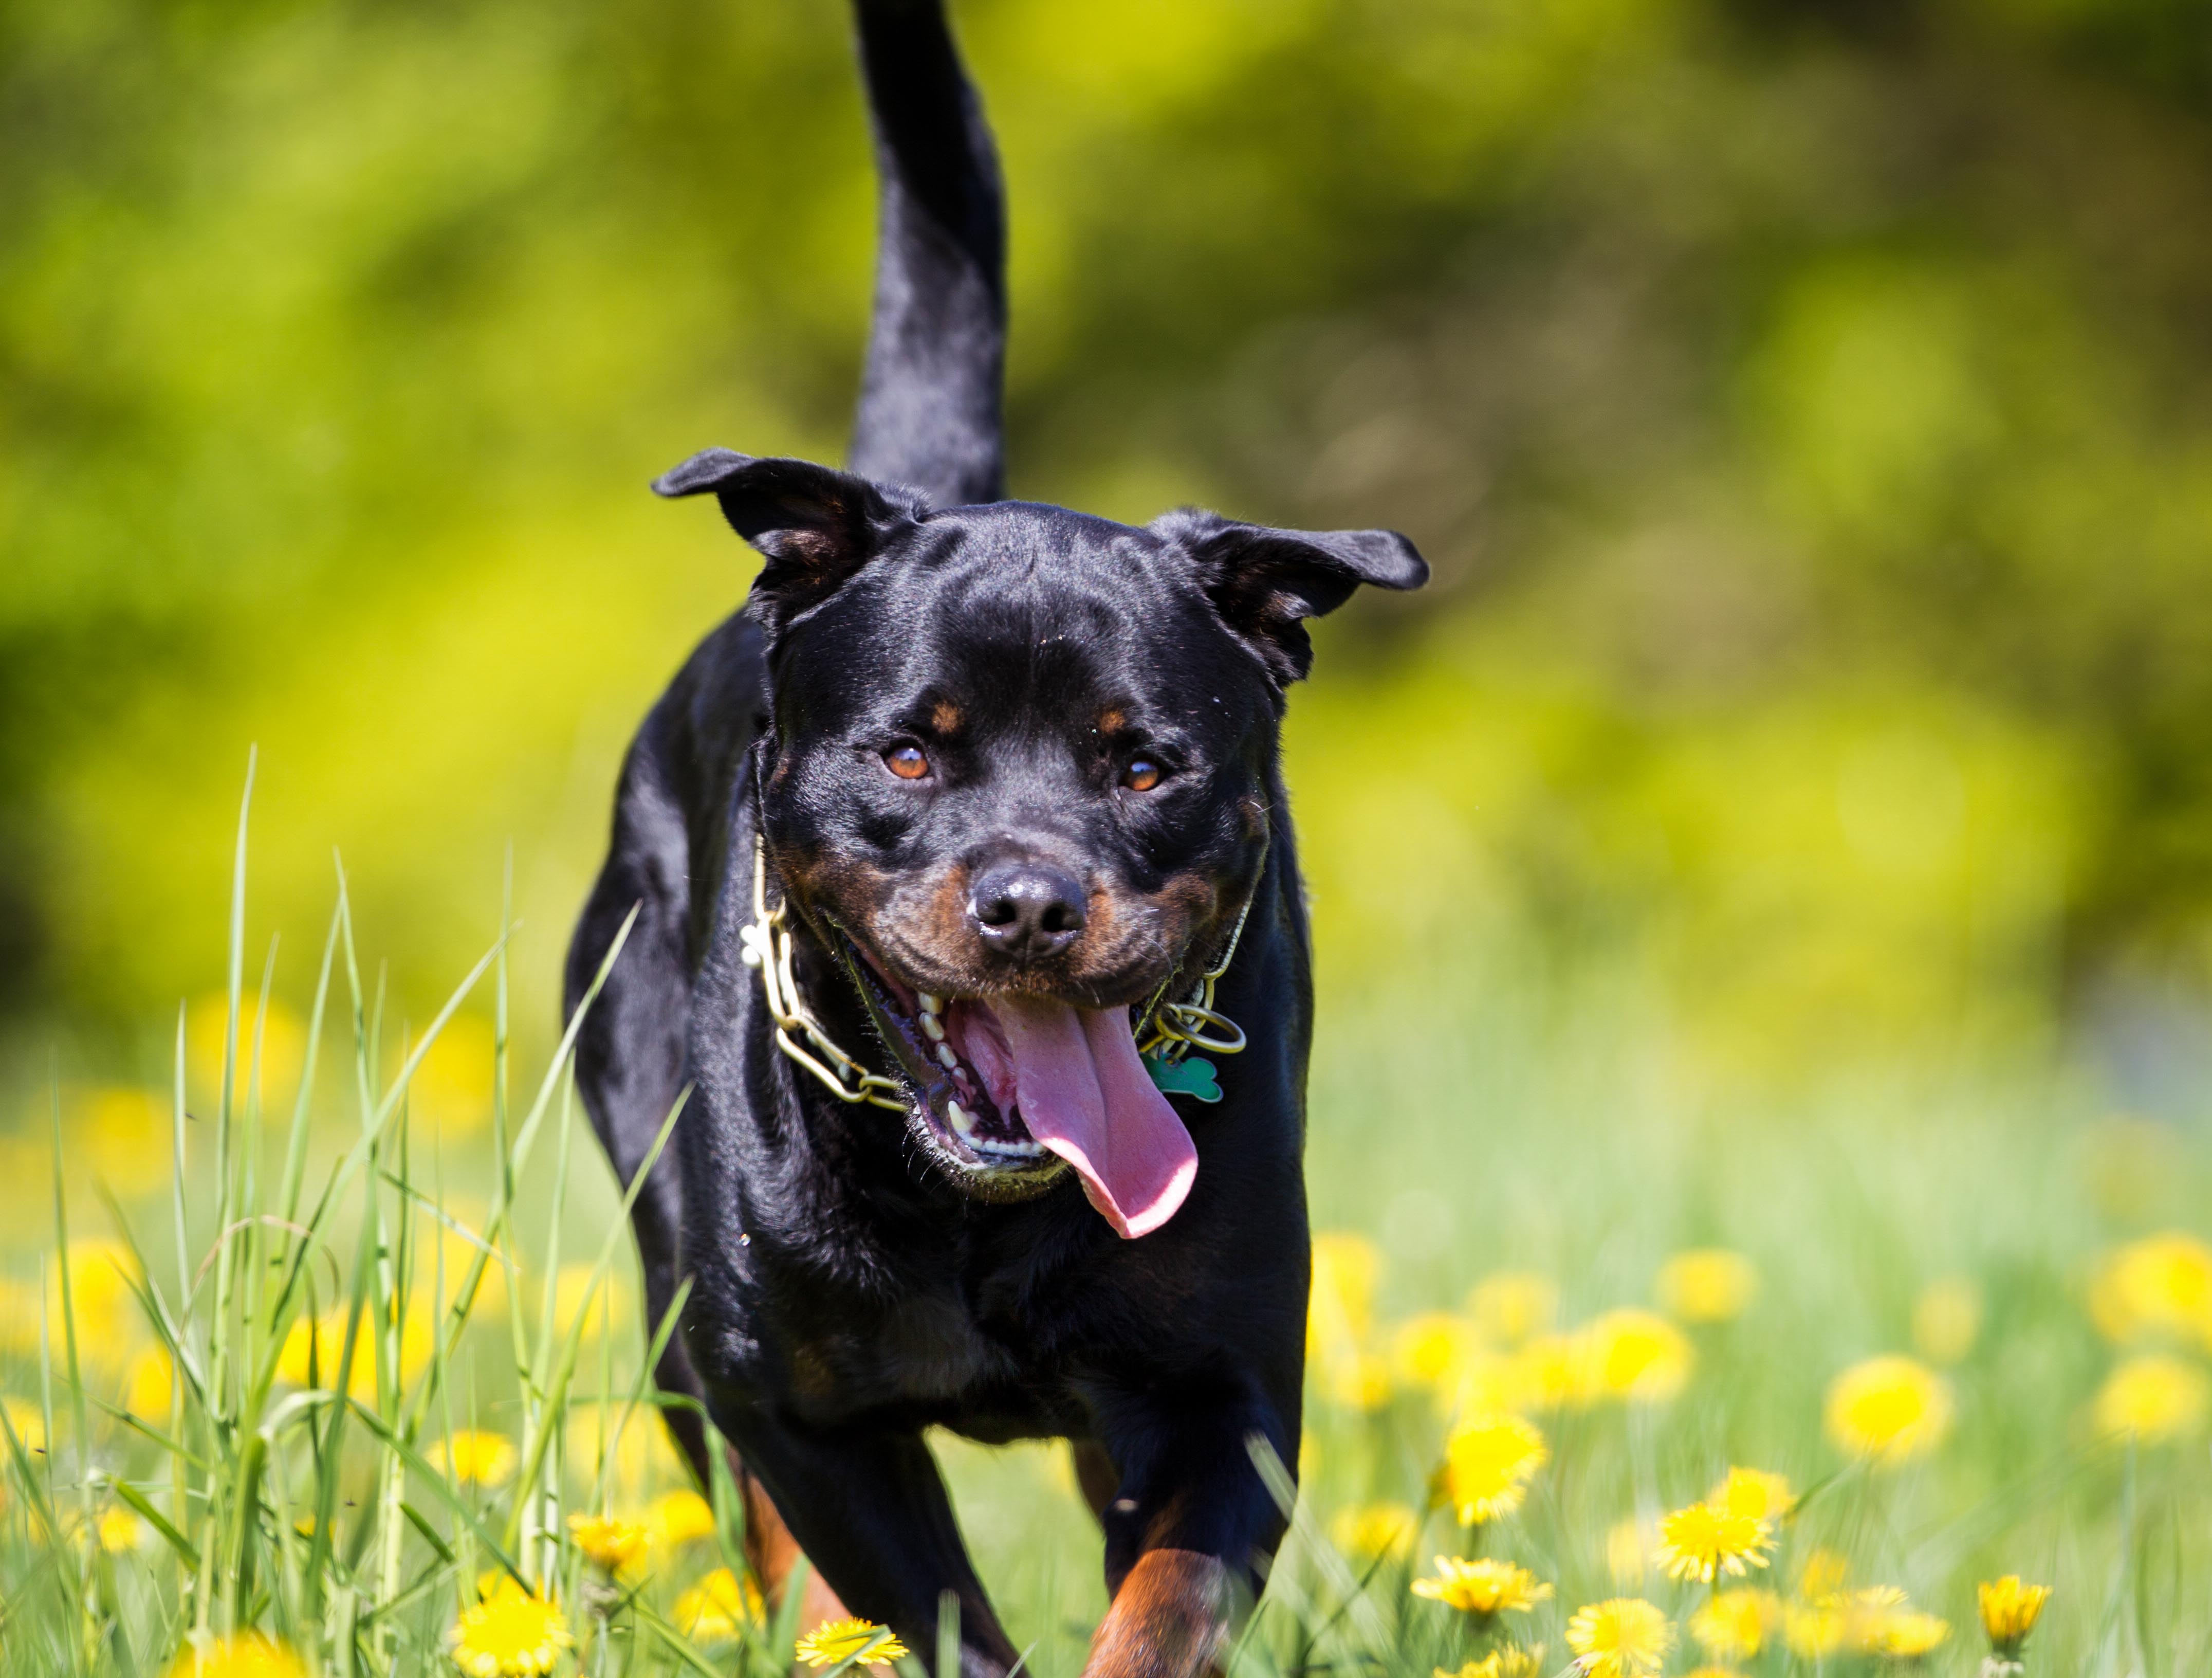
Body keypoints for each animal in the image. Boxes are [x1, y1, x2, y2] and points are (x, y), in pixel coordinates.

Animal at [570, 6, 1424, 1673]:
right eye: (910, 750)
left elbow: (1157, 1610)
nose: (1030, 902)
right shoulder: (793, 1405)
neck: (975, 1203)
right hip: (673, 1307)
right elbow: (926, 1608)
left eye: (1144, 765)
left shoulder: (1219, 1397)